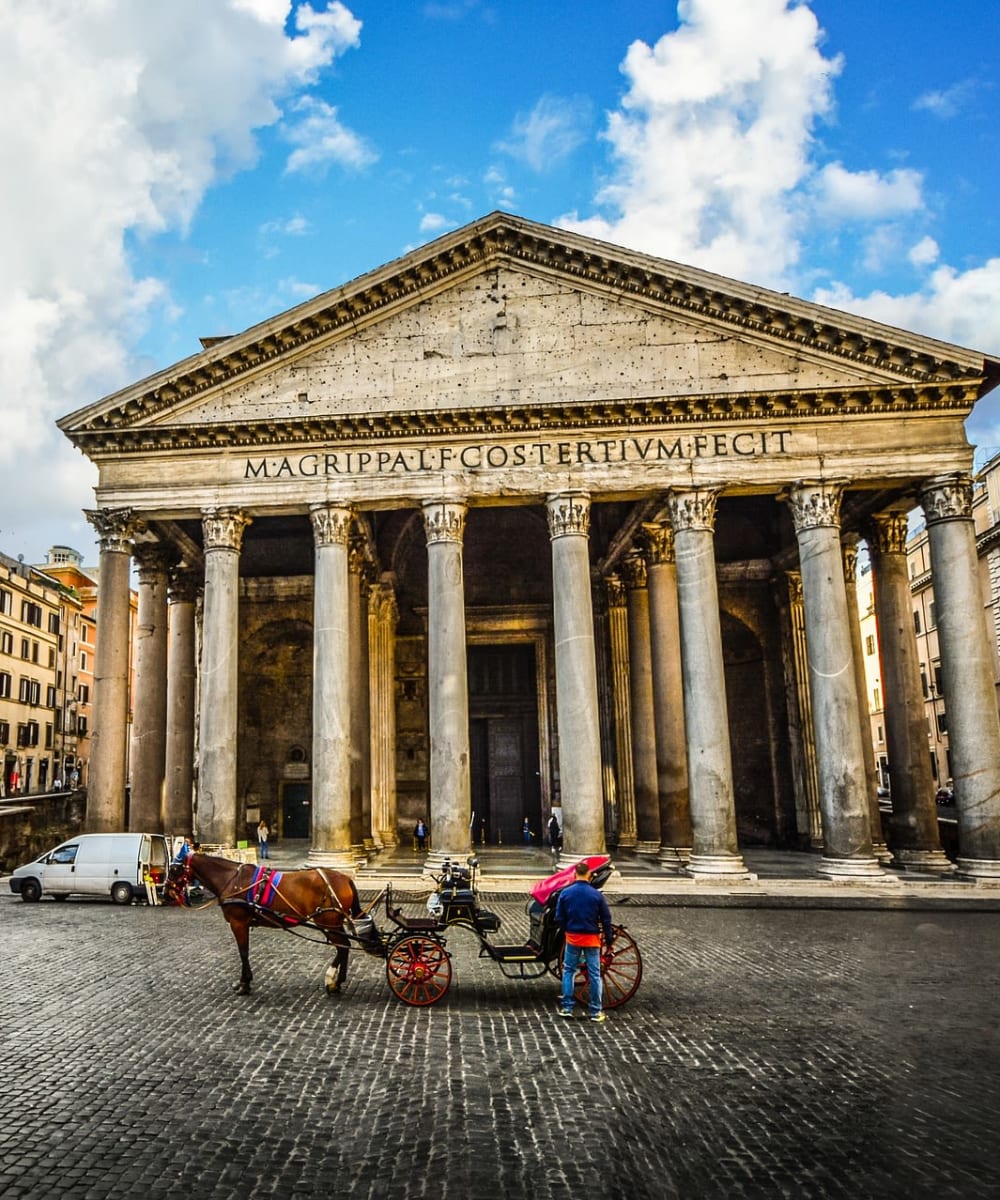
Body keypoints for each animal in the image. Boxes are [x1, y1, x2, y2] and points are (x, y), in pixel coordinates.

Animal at [169, 849, 360, 998]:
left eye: (175, 869)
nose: (167, 889)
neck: (232, 880)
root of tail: (346, 878)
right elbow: (244, 951)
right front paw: (244, 981)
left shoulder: (238, 923)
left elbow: (243, 952)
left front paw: (244, 984)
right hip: (332, 923)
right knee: (344, 946)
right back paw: (335, 980)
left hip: (327, 922)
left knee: (343, 946)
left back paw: (334, 981)